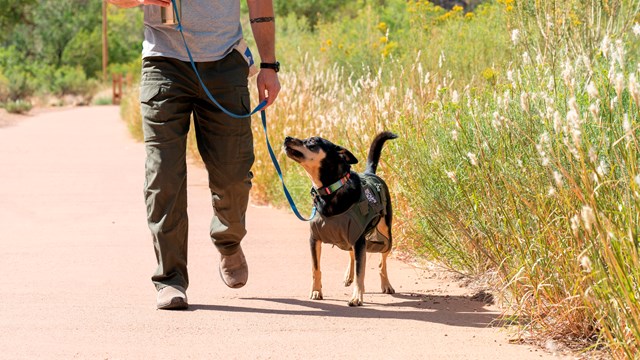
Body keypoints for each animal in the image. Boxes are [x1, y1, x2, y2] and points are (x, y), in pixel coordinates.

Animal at [284, 131, 398, 306]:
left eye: (312, 142)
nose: (287, 138)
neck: (330, 190)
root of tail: (370, 172)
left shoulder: (359, 240)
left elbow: (360, 272)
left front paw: (357, 297)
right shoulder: (314, 239)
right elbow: (315, 269)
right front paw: (316, 291)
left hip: (385, 235)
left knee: (381, 262)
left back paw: (386, 285)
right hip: (347, 239)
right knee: (352, 255)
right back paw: (348, 276)